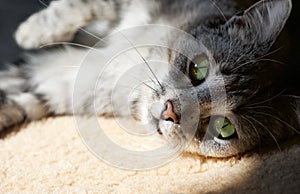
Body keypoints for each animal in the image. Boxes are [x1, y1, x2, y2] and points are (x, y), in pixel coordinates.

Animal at [1, 0, 298, 158]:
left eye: (224, 129)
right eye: (198, 69)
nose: (171, 112)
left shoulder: (60, 84)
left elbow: (17, 101)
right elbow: (82, 6)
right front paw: (31, 33)